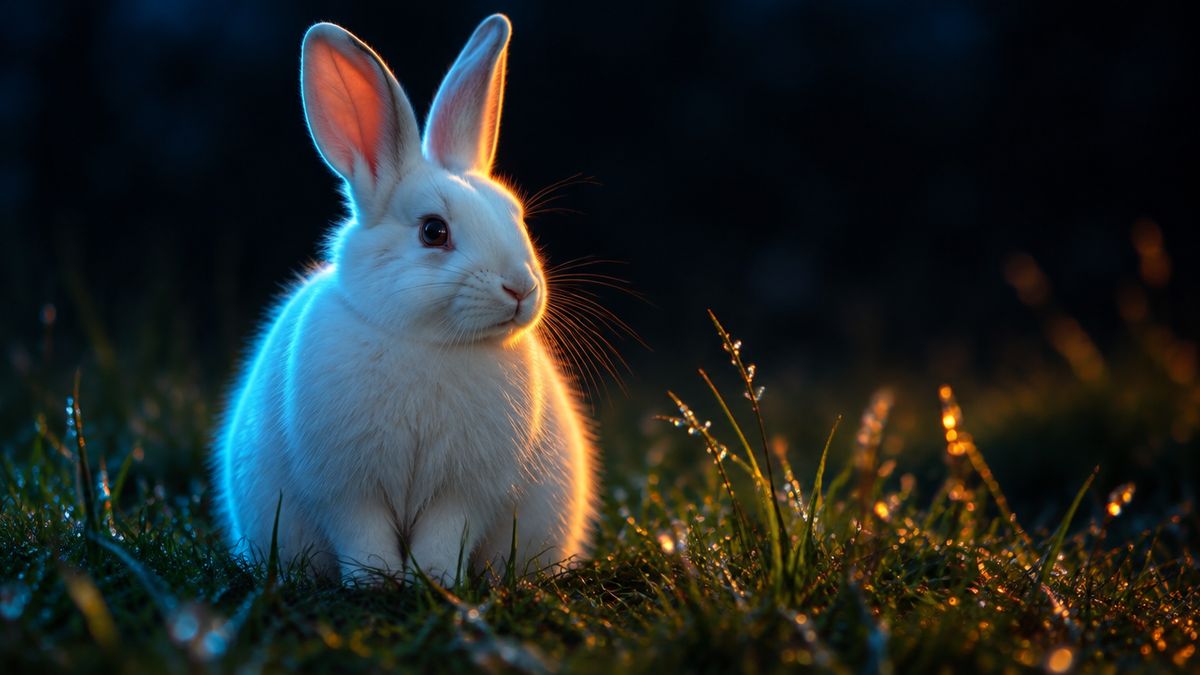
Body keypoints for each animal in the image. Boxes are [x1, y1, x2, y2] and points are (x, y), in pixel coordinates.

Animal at [212, 14, 598, 584]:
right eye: (433, 231)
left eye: (515, 216)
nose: (521, 288)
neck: (428, 342)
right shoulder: (348, 491)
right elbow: (362, 534)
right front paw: (375, 581)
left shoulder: (461, 494)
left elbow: (444, 536)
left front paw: (433, 580)